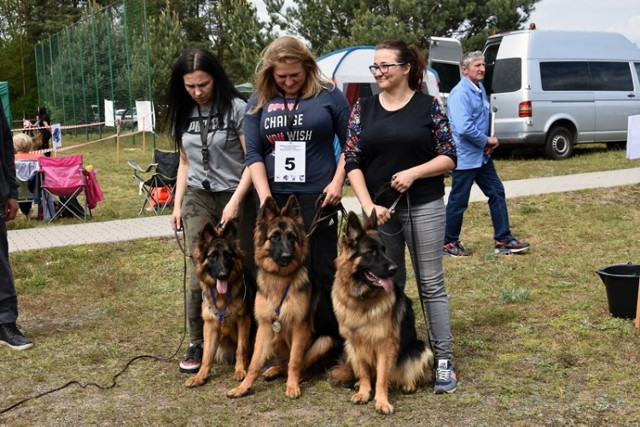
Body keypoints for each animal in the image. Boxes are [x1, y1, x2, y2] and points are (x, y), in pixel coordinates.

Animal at [184, 219, 254, 390]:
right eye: (213, 256)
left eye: (228, 255)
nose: (223, 275)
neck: (221, 297)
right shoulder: (210, 324)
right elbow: (207, 355)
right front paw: (199, 377)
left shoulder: (243, 320)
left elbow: (241, 348)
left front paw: (240, 370)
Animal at [226, 196, 338, 400]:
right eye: (275, 237)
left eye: (291, 237)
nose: (287, 255)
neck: (280, 278)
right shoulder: (264, 326)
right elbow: (254, 363)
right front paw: (243, 387)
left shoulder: (301, 328)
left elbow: (295, 361)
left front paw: (292, 386)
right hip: (277, 336)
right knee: (285, 363)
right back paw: (275, 370)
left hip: (324, 341)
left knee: (304, 366)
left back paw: (298, 377)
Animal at [332, 212, 432, 416]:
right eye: (371, 252)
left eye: (384, 250)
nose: (394, 269)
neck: (362, 298)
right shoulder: (357, 343)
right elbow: (364, 373)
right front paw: (364, 393)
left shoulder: (386, 346)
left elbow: (382, 378)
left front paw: (382, 402)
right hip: (349, 348)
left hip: (419, 348)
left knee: (404, 373)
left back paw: (408, 385)